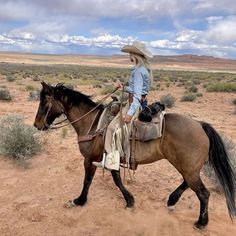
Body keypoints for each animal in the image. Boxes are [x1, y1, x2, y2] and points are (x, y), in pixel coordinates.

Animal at [33, 82, 236, 230]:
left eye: (44, 102)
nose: (37, 124)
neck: (92, 123)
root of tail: (200, 124)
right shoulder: (111, 158)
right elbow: (116, 179)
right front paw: (130, 200)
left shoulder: (89, 159)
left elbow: (88, 181)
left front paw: (79, 200)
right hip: (188, 167)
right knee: (188, 183)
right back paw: (172, 200)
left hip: (188, 167)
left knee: (203, 193)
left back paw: (201, 223)